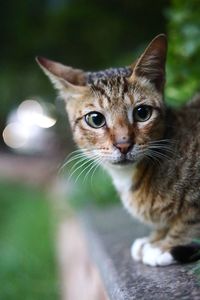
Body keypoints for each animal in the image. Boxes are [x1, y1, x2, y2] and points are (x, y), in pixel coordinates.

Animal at [36, 34, 200, 266]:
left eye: (142, 113)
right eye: (95, 119)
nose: (123, 144)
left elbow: (190, 218)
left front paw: (165, 245)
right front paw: (155, 238)